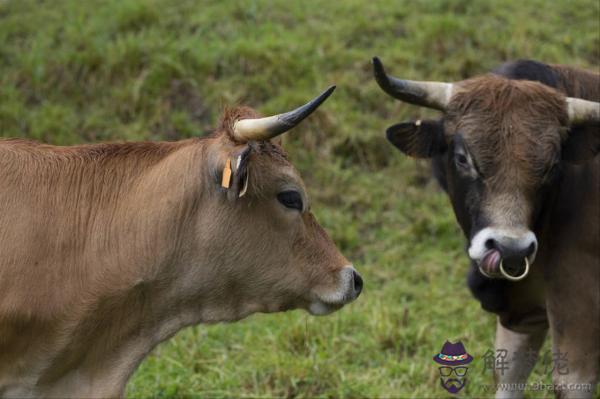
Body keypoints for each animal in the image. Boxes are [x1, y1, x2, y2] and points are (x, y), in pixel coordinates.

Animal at [376, 57, 600, 399]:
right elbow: (508, 374)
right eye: (462, 157)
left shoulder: (579, 311)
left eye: (552, 165)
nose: (510, 249)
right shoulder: (523, 312)